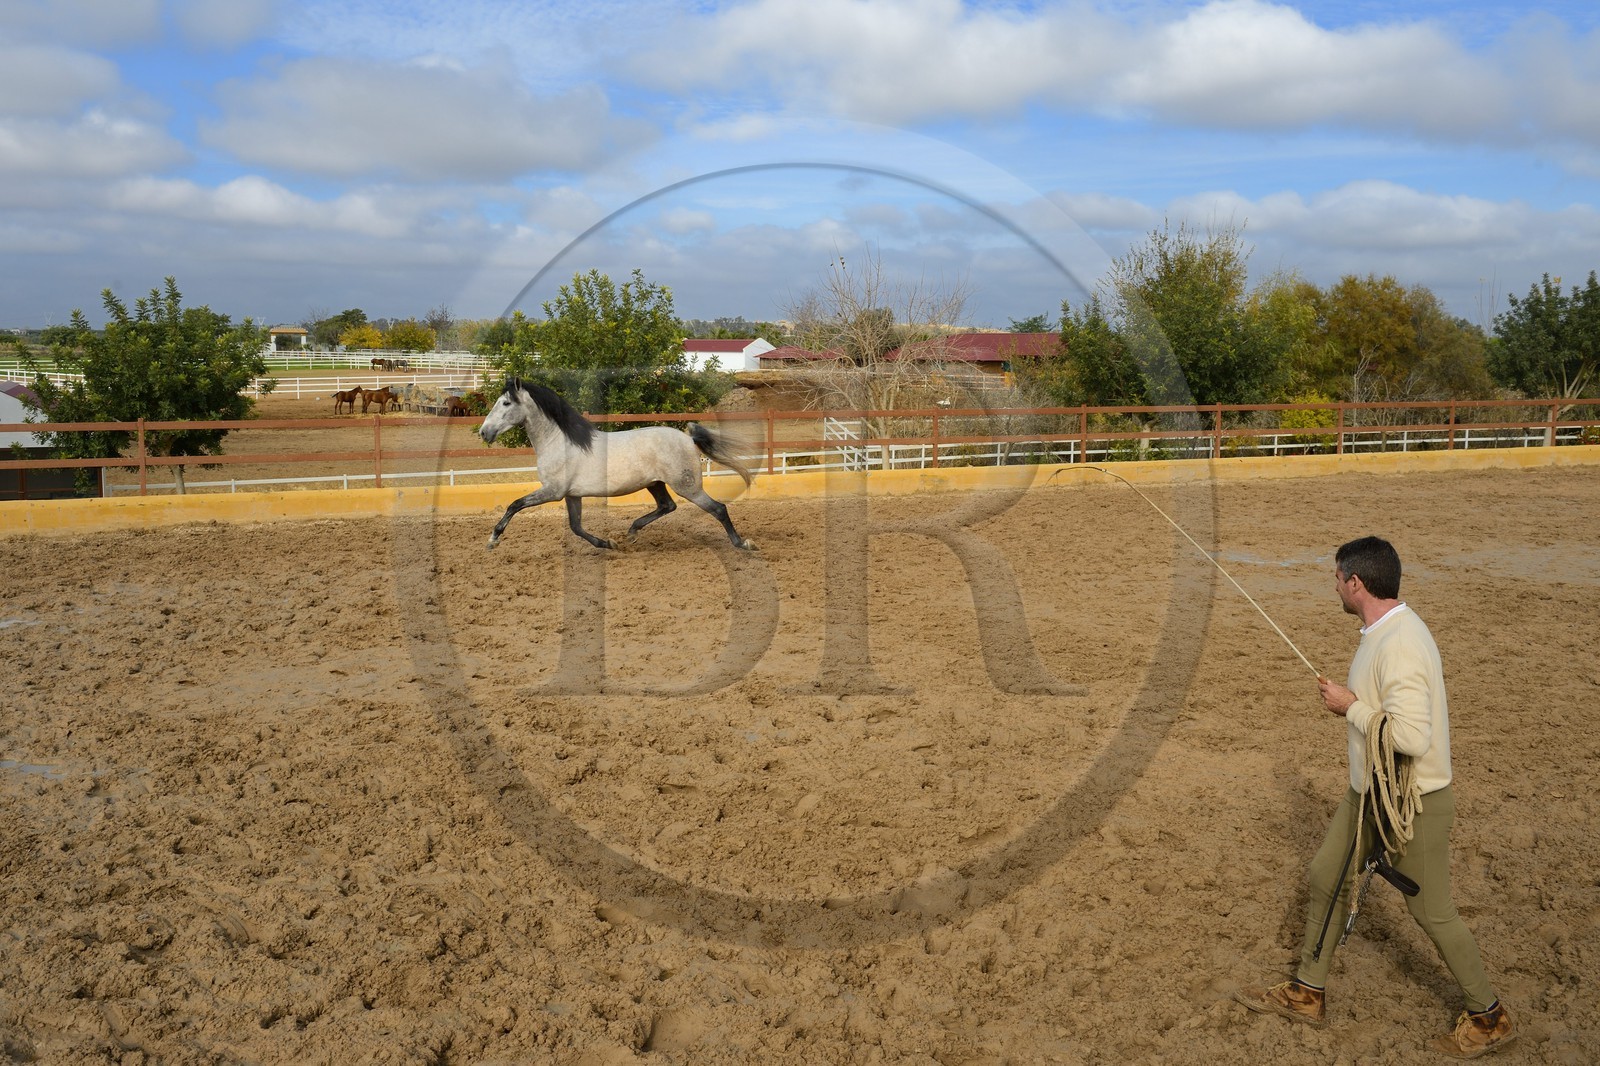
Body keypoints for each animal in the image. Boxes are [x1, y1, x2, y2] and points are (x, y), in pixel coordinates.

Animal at [477, 378, 756, 552]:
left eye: (506, 403)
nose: (484, 433)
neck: (559, 442)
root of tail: (688, 439)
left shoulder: (552, 492)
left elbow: (515, 505)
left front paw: (493, 539)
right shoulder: (571, 495)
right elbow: (576, 527)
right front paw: (609, 544)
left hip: (688, 486)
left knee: (718, 509)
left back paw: (743, 544)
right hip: (656, 483)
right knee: (667, 506)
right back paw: (631, 533)